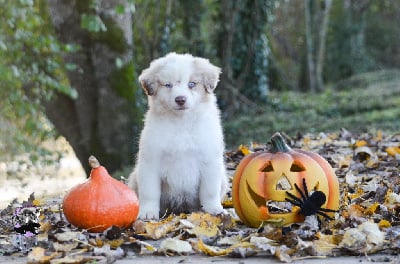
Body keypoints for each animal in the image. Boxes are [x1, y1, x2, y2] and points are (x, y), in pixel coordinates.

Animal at [129, 52, 228, 220]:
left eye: (192, 84)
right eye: (168, 85)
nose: (180, 99)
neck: (181, 123)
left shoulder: (210, 160)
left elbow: (209, 191)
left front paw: (213, 209)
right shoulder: (150, 162)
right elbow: (150, 192)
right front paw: (148, 213)